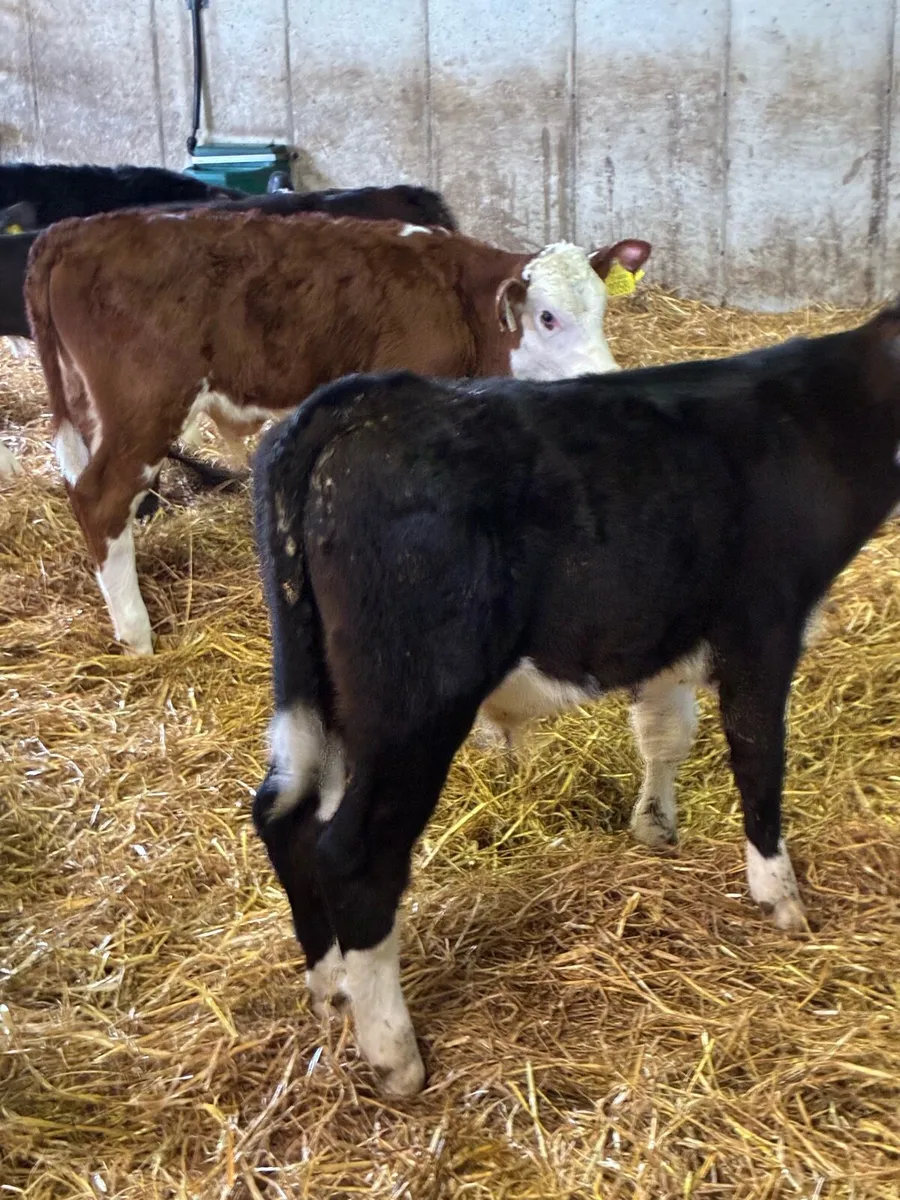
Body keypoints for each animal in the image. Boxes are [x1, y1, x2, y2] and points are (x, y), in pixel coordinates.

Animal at [24, 207, 651, 655]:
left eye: (603, 310)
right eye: (548, 318)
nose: (609, 384)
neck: (457, 301)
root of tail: (73, 230)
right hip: (145, 404)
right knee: (100, 499)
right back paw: (138, 636)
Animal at [249, 304, 900, 1096]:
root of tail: (367, 400)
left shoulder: (667, 629)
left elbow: (664, 732)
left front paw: (655, 829)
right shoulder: (761, 627)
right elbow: (758, 760)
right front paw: (779, 895)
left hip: (323, 696)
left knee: (285, 816)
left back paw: (330, 989)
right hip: (413, 699)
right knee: (351, 852)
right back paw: (395, 1054)